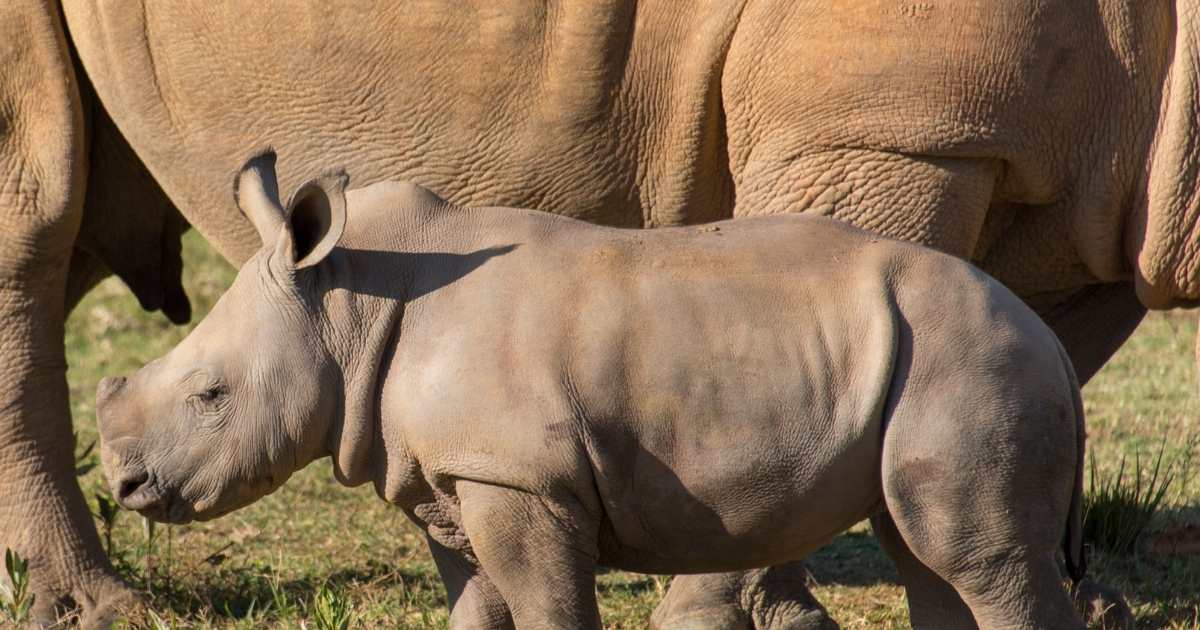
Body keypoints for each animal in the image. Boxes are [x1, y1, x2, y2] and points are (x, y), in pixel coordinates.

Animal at [100, 153, 1099, 628]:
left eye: (210, 396)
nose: (126, 486)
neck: (349, 303)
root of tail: (1050, 341)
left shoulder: (518, 476)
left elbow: (549, 609)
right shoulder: (453, 479)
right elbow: (476, 609)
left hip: (974, 364)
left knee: (979, 563)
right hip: (942, 363)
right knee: (926, 555)